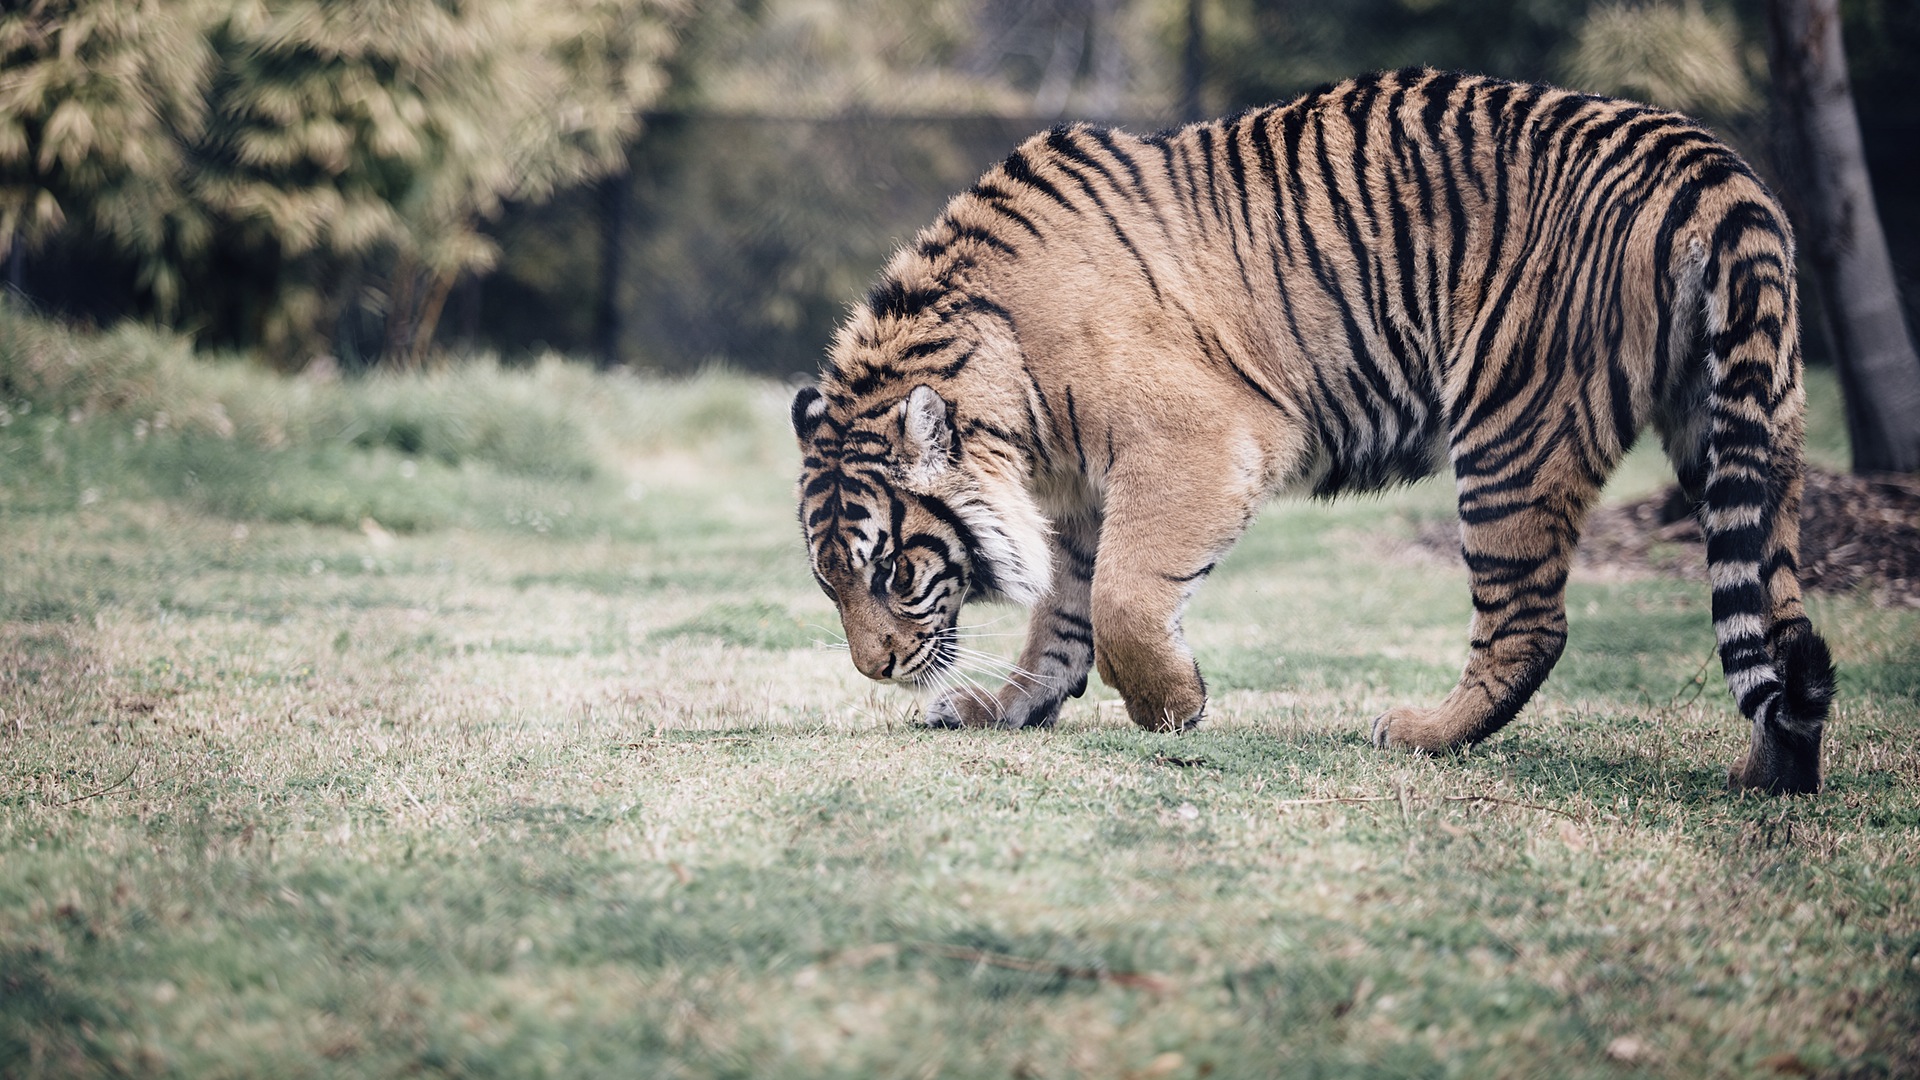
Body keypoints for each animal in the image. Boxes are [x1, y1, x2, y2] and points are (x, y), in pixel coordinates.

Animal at [787, 67, 1835, 791]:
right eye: (829, 581)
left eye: (894, 571)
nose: (876, 669)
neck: (1008, 389)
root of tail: (1709, 166)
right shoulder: (1082, 493)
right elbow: (1062, 615)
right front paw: (1006, 708)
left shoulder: (1196, 443)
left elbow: (1121, 597)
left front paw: (1173, 707)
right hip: (1741, 429)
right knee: (1774, 613)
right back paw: (1769, 770)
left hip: (1513, 428)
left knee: (1532, 622)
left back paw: (1421, 733)